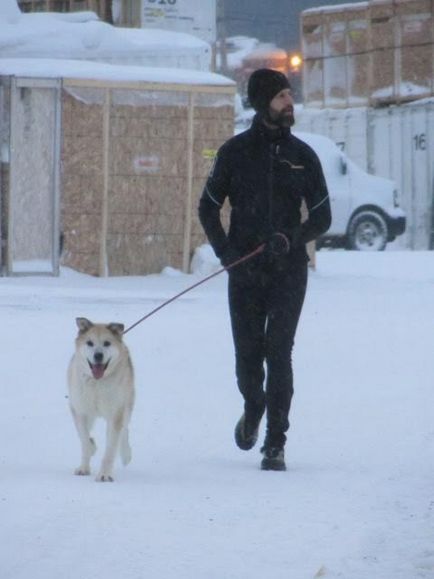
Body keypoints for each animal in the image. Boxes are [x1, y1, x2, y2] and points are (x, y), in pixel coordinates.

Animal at [67, 318, 134, 480]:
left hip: (126, 405)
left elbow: (110, 448)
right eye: (89, 343)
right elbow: (84, 438)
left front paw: (104, 475)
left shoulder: (116, 413)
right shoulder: (79, 410)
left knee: (124, 430)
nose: (98, 355)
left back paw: (126, 455)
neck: (97, 383)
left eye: (107, 343)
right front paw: (84, 467)